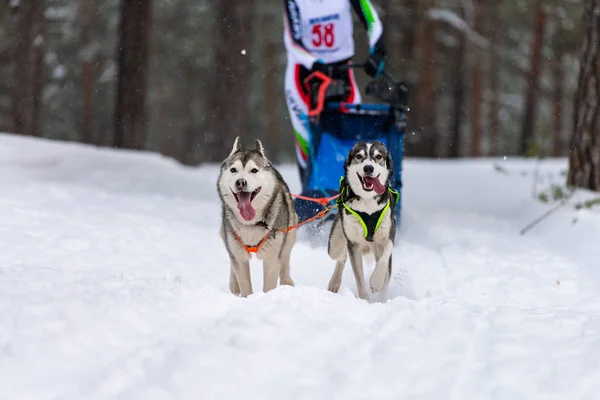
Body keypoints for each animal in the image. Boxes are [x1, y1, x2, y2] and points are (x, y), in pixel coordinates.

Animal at [218, 138, 298, 296]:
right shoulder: (239, 257)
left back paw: (287, 282)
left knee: (285, 258)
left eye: (254, 170)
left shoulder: (272, 258)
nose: (240, 182)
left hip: (290, 232)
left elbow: (269, 286)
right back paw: (233, 285)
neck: (252, 224)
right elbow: (244, 282)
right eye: (233, 170)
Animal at [326, 141, 396, 300]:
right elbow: (359, 279)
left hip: (376, 245)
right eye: (359, 156)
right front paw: (364, 300)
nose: (368, 168)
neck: (367, 202)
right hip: (335, 244)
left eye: (378, 156)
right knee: (342, 257)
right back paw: (334, 282)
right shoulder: (353, 242)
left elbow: (384, 261)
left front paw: (376, 281)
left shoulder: (389, 233)